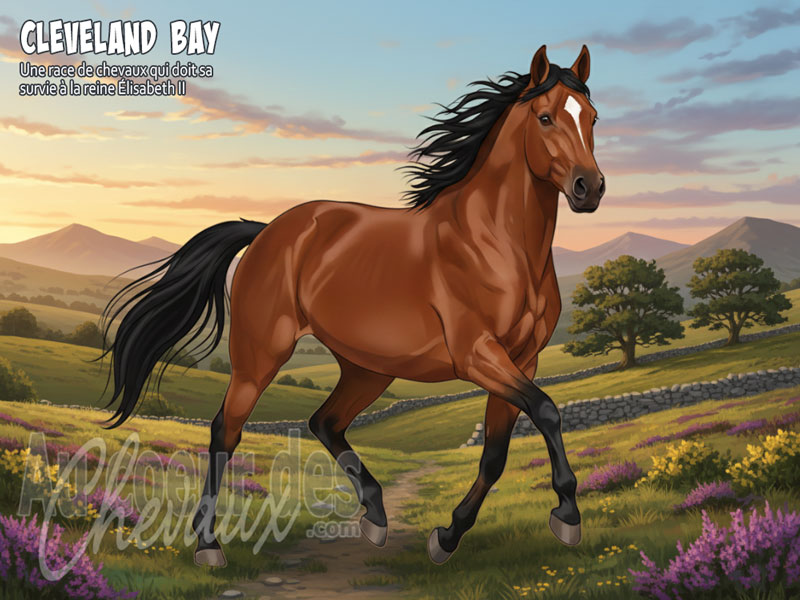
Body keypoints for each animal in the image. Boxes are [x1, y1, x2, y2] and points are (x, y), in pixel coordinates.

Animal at [98, 44, 604, 567]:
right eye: (545, 117)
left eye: (592, 117)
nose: (590, 187)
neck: (496, 243)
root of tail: (267, 231)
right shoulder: (478, 355)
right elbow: (546, 410)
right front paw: (567, 515)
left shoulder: (522, 359)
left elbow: (496, 454)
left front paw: (447, 537)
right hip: (261, 356)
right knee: (226, 431)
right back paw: (207, 544)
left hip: (368, 368)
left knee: (324, 422)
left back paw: (376, 516)